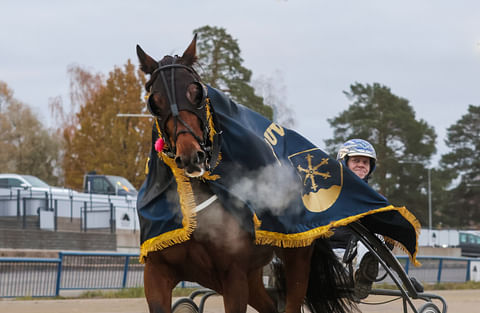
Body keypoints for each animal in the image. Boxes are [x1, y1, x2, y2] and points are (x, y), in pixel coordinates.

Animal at [134, 35, 352, 312]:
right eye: (155, 102)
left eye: (197, 93)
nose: (191, 156)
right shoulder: (157, 272)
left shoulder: (233, 274)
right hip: (253, 274)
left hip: (297, 255)